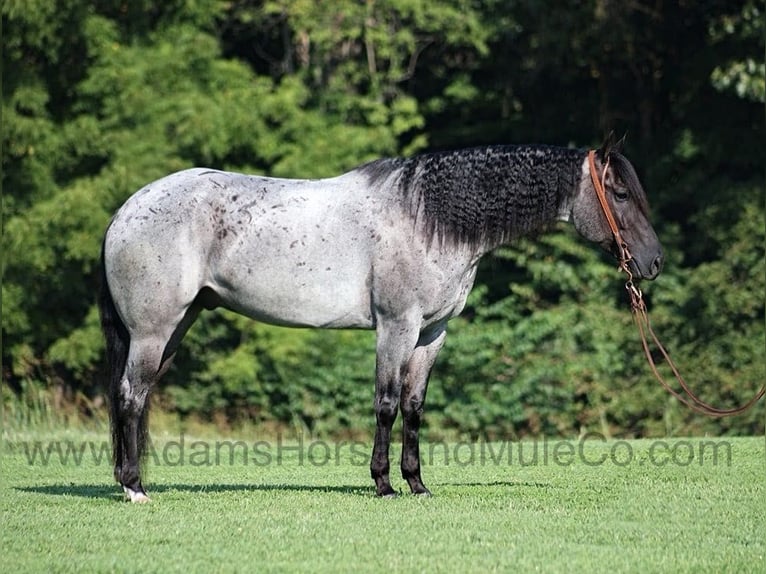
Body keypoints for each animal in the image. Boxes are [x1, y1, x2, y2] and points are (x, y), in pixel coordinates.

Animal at [100, 136, 664, 504]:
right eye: (619, 193)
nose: (653, 262)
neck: (429, 218)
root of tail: (127, 211)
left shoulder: (432, 333)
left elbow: (414, 407)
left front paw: (417, 483)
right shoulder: (397, 327)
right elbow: (387, 404)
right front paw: (384, 484)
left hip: (175, 327)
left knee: (136, 396)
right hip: (153, 331)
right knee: (130, 395)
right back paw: (134, 488)